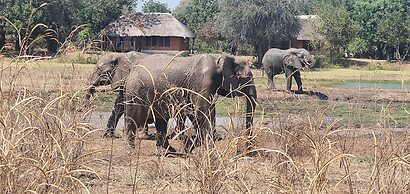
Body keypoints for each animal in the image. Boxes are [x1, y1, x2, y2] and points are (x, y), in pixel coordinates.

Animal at [125, 53, 258, 154]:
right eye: (247, 78)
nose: (248, 151)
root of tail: (132, 70)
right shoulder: (202, 81)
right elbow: (202, 112)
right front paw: (205, 148)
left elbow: (197, 113)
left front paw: (191, 147)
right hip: (135, 93)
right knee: (133, 120)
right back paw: (131, 149)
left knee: (161, 122)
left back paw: (170, 151)